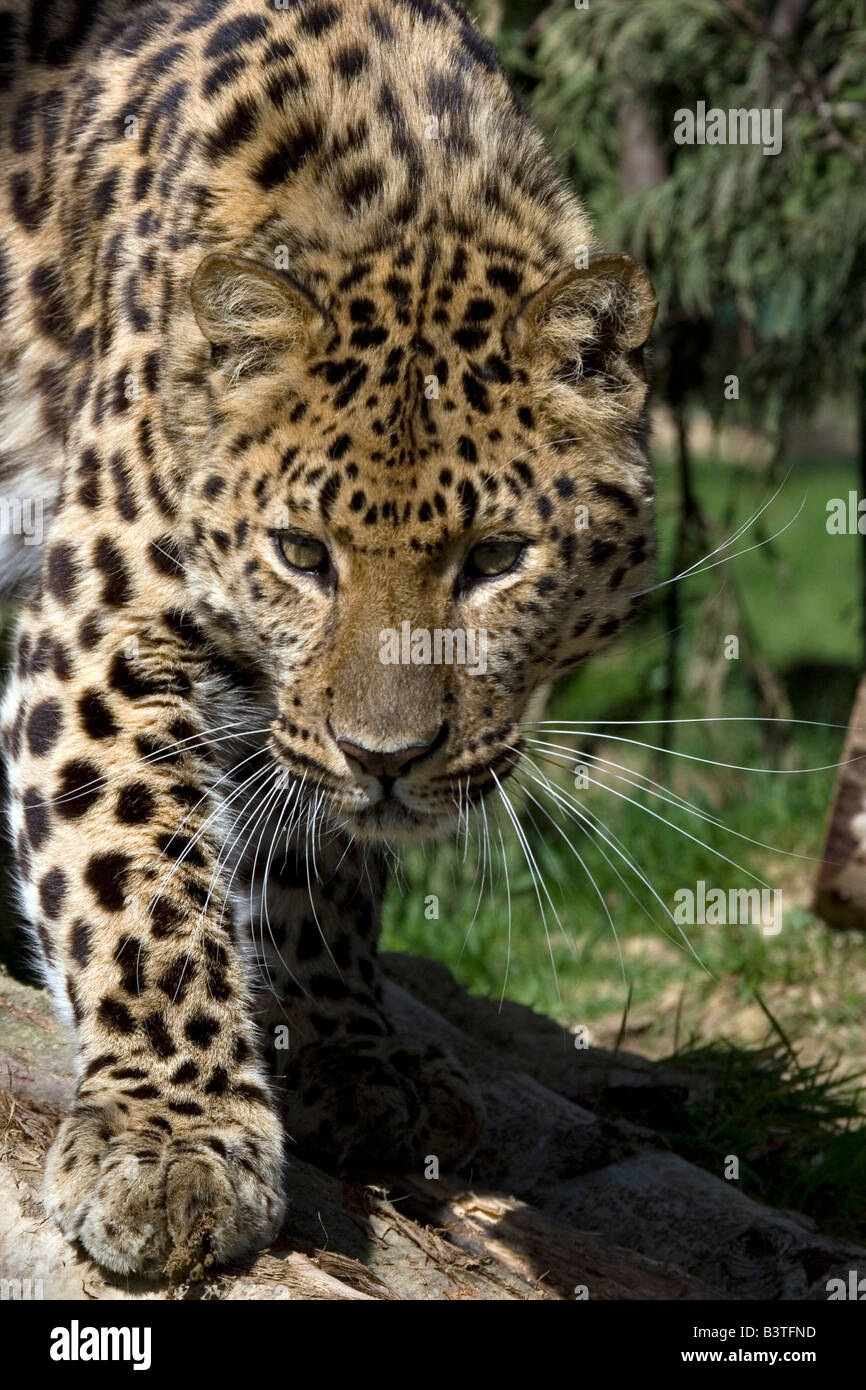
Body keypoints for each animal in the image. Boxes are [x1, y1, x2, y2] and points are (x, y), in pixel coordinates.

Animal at [0, 0, 657, 1278]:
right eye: (301, 552)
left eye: (495, 557)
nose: (387, 758)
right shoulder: (103, 619)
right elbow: (136, 874)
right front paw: (173, 1142)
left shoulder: (290, 716)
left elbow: (315, 858)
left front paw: (350, 1053)